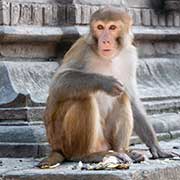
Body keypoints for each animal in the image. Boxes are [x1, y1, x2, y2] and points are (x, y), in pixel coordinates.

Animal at [37, 6, 173, 167]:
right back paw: (87, 155)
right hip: (65, 140)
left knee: (122, 97)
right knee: (84, 98)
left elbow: (131, 97)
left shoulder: (130, 55)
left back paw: (123, 151)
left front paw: (155, 146)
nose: (105, 40)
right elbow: (57, 84)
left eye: (112, 27)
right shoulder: (82, 48)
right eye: (100, 27)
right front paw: (105, 82)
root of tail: (55, 147)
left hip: (105, 142)